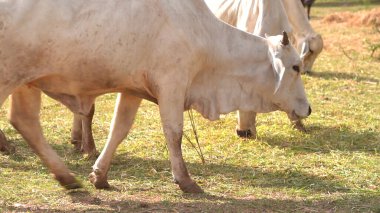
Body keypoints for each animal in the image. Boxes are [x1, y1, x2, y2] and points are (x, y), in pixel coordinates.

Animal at [0, 0, 310, 193]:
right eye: (295, 67)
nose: (307, 109)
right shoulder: (172, 84)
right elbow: (174, 133)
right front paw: (185, 180)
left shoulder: (132, 90)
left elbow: (119, 130)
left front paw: (100, 175)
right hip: (9, 76)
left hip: (26, 81)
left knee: (25, 121)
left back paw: (65, 177)